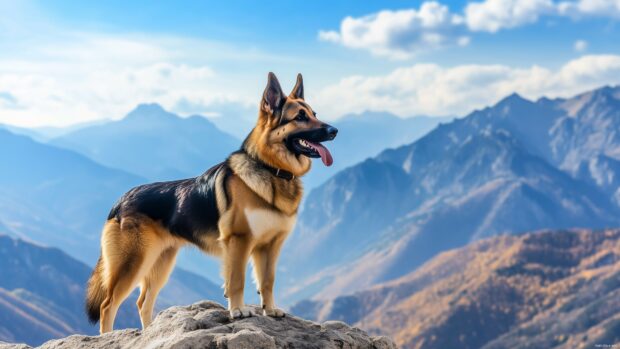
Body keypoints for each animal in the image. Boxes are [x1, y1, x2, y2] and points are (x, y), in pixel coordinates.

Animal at [85, 72, 336, 332]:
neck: (271, 170)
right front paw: (238, 311)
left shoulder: (270, 246)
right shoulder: (238, 241)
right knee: (107, 305)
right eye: (300, 117)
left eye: (314, 114)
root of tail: (120, 201)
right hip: (133, 263)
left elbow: (267, 281)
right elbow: (236, 280)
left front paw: (270, 309)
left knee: (143, 302)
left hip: (161, 262)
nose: (334, 130)